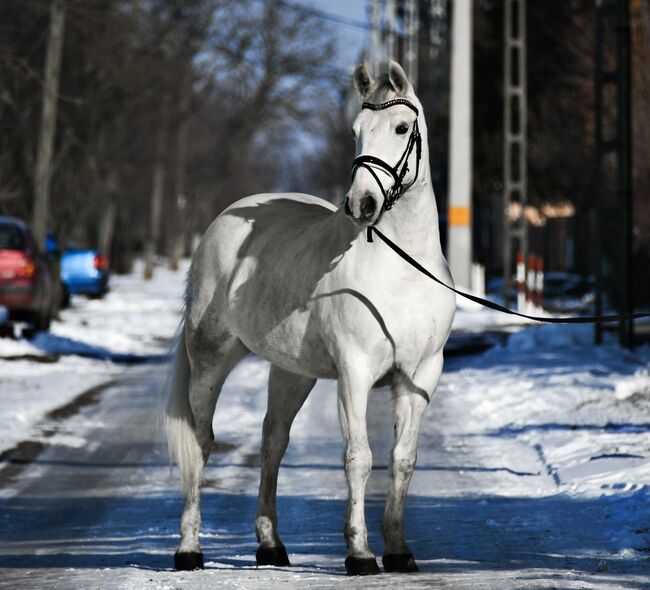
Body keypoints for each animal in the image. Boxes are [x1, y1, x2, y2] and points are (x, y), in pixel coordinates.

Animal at [165, 61, 454, 580]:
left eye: (402, 128)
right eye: (357, 130)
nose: (361, 204)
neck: (402, 270)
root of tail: (220, 223)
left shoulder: (420, 376)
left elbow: (402, 460)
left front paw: (399, 551)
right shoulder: (355, 373)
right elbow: (359, 458)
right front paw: (360, 555)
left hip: (291, 374)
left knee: (272, 444)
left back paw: (271, 546)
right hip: (209, 362)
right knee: (200, 446)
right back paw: (189, 550)